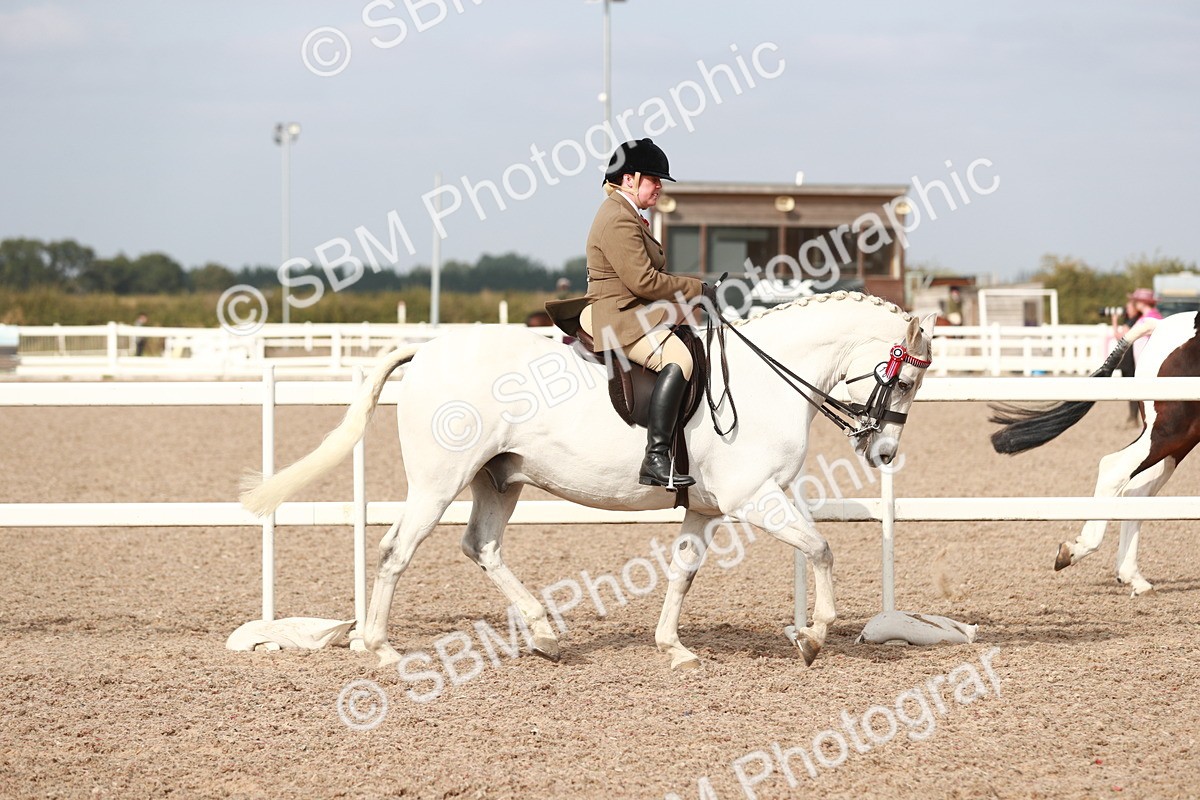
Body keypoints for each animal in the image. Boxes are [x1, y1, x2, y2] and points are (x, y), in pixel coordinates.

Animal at [241, 291, 937, 669]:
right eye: (904, 378)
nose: (883, 451)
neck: (767, 378)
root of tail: (430, 349)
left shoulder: (711, 506)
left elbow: (684, 571)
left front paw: (673, 647)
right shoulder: (753, 497)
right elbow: (820, 547)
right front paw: (813, 638)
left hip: (499, 480)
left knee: (481, 545)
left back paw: (545, 634)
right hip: (438, 483)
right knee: (396, 551)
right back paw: (381, 648)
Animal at [989, 311, 1200, 595]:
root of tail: (1164, 325)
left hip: (1178, 441)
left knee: (1136, 491)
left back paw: (1133, 578)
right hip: (1170, 431)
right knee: (1114, 470)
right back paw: (1076, 551)